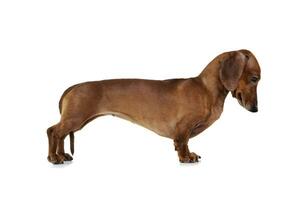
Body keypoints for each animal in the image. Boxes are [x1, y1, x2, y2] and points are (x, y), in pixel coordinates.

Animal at [47, 49, 260, 163]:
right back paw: (54, 158)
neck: (205, 89)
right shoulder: (183, 127)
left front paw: (189, 154)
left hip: (75, 121)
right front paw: (186, 157)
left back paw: (62, 155)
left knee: (60, 134)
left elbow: (183, 143)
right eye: (254, 78)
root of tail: (74, 87)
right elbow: (183, 142)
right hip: (75, 119)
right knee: (53, 131)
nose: (255, 109)